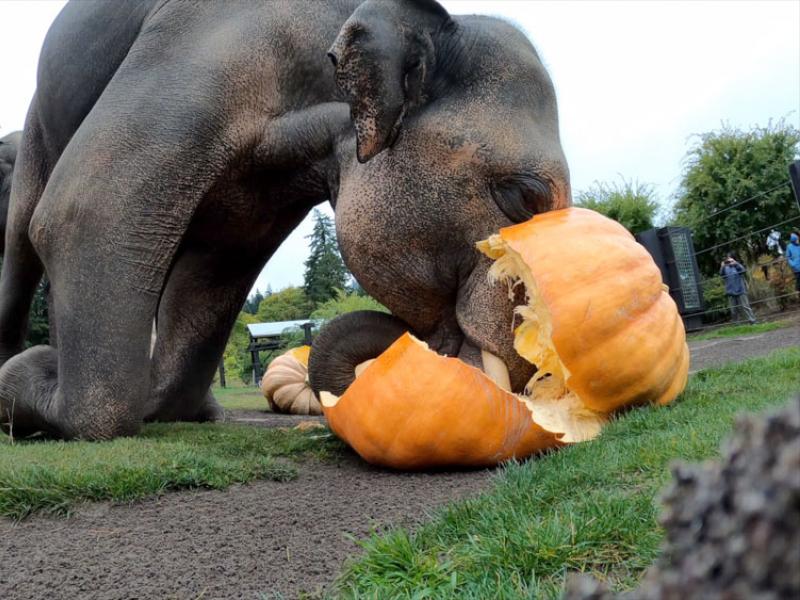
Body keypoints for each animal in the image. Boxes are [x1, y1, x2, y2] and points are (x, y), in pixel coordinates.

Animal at [0, 0, 568, 440]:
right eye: (524, 197)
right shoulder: (204, 49)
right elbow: (85, 211)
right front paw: (31, 377)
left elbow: (212, 275)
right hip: (34, 129)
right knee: (23, 242)